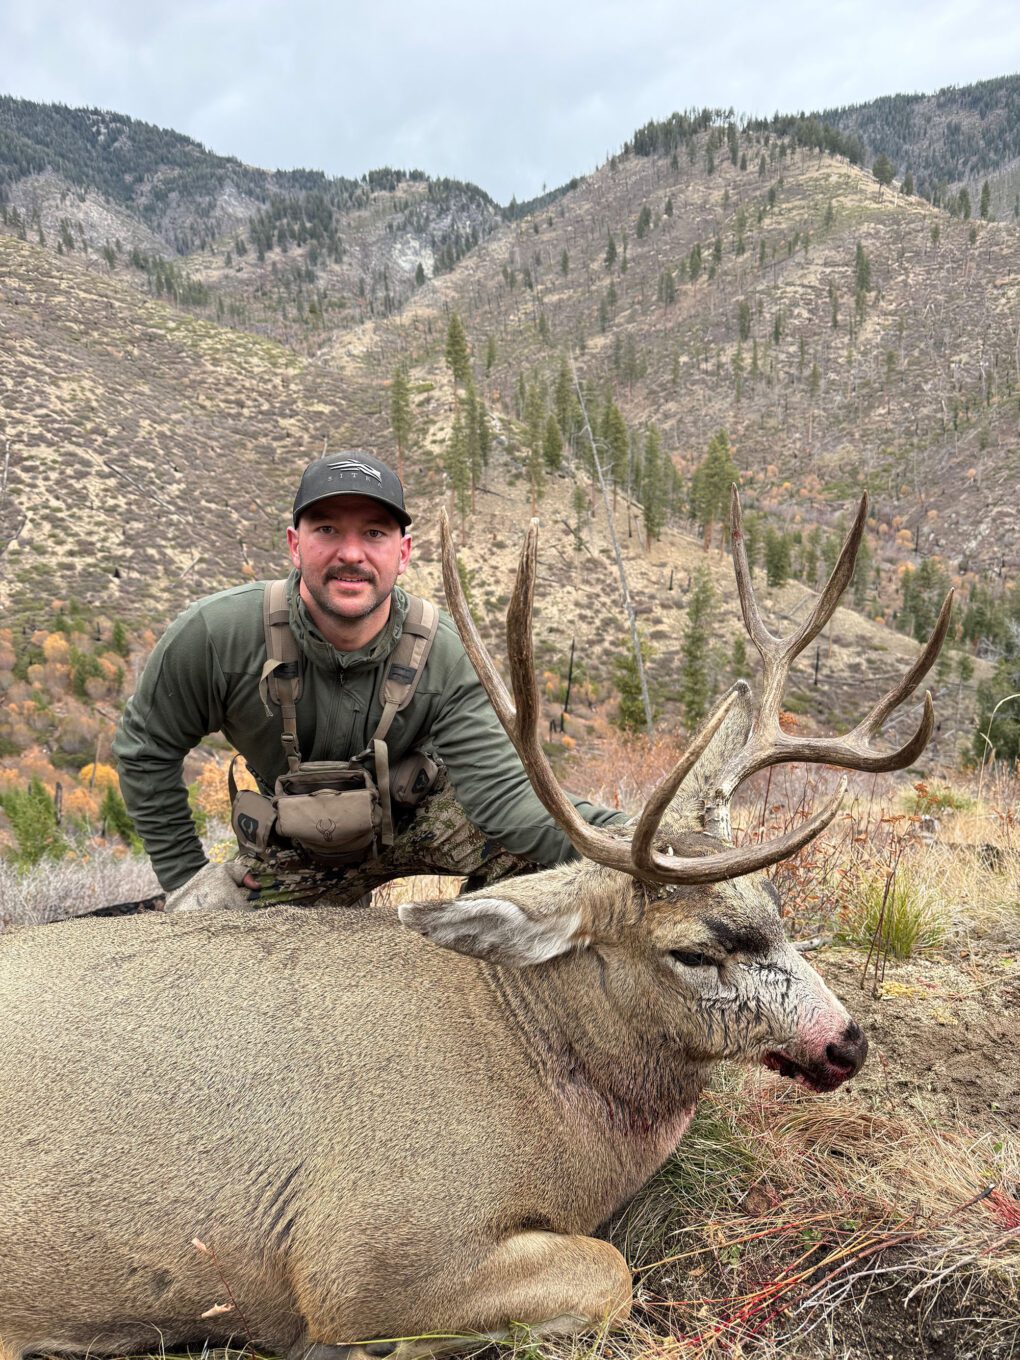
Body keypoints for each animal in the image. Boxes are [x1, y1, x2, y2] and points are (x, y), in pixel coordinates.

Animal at [0, 490, 950, 1360]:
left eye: (777, 911)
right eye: (692, 951)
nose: (846, 1043)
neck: (538, 1070)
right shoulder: (365, 1247)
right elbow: (610, 1273)